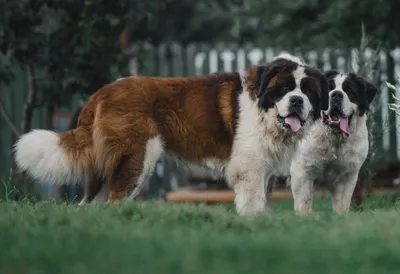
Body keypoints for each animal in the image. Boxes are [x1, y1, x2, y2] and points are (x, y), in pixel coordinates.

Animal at [14, 53, 328, 215]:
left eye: (308, 92)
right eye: (284, 88)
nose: (297, 102)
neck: (263, 110)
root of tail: (102, 92)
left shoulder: (262, 168)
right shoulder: (249, 167)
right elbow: (253, 202)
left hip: (107, 167)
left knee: (90, 203)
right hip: (136, 158)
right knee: (116, 200)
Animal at [288, 70, 378, 214]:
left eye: (350, 91)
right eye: (329, 89)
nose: (336, 94)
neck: (334, 139)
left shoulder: (348, 175)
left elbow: (342, 203)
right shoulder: (302, 171)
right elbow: (304, 201)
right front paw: (304, 217)